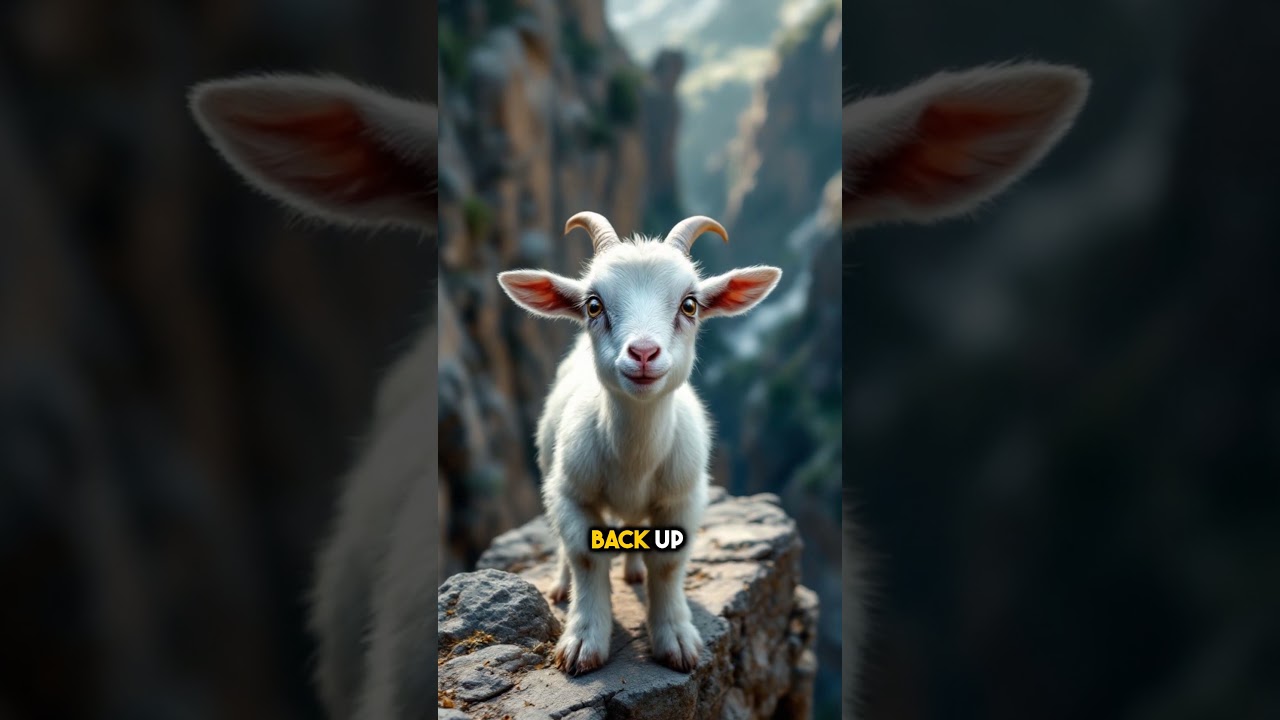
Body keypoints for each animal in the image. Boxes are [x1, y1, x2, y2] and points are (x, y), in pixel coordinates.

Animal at [497, 212, 782, 675]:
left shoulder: (684, 498)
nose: (644, 353)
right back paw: (562, 584)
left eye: (690, 304)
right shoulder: (571, 492)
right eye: (594, 305)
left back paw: (632, 571)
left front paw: (675, 638)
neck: (634, 458)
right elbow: (585, 556)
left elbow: (666, 564)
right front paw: (584, 641)